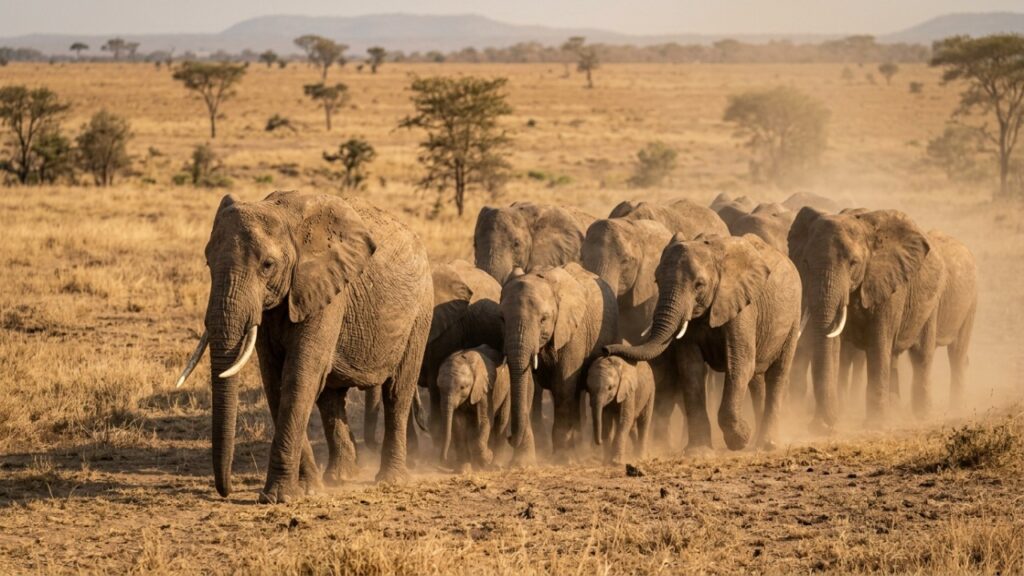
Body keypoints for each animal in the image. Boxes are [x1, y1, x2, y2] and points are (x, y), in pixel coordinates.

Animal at [175, 191, 433, 503]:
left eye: (268, 265)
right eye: (208, 262)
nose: (226, 491)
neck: (284, 216)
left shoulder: (327, 292)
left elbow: (299, 377)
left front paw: (278, 498)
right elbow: (275, 382)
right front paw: (308, 490)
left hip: (421, 310)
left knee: (397, 391)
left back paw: (390, 480)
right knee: (331, 398)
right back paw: (339, 479)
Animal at [501, 263, 618, 465]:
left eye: (543, 319)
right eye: (502, 319)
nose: (508, 437)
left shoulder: (573, 332)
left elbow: (563, 385)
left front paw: (564, 459)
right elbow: (528, 387)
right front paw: (522, 463)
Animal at [606, 233, 802, 451]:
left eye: (699, 285)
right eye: (657, 281)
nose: (606, 349)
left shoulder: (742, 308)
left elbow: (739, 364)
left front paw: (741, 439)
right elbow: (691, 369)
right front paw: (699, 451)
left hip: (793, 316)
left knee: (777, 374)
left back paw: (767, 444)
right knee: (757, 378)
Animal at [788, 208, 947, 430]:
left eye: (853, 263)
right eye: (805, 263)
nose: (826, 423)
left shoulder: (889, 287)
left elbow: (878, 344)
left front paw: (875, 425)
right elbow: (834, 344)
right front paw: (823, 425)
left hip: (933, 299)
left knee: (921, 355)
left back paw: (921, 415)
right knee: (893, 355)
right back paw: (895, 410)